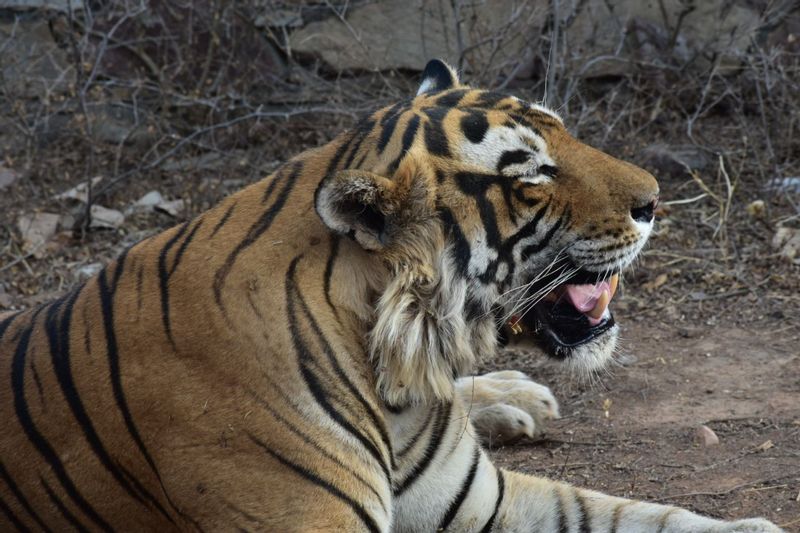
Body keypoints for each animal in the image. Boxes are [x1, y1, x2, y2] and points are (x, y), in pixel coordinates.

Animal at [0, 60, 780, 528]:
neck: (395, 367)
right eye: (531, 174)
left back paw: (513, 398)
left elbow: (637, 513)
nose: (656, 200)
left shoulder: (482, 503)